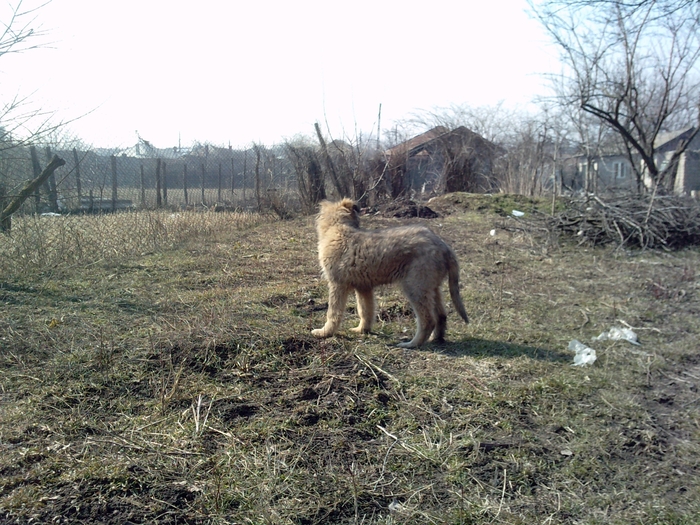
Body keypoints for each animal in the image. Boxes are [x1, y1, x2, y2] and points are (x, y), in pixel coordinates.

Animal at [314, 199, 470, 346]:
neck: (338, 227)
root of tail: (443, 246)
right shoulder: (363, 287)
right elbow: (365, 310)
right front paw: (362, 330)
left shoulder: (337, 284)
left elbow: (333, 312)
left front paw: (324, 332)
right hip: (432, 287)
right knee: (441, 315)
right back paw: (435, 339)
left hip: (415, 287)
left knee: (428, 320)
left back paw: (411, 344)